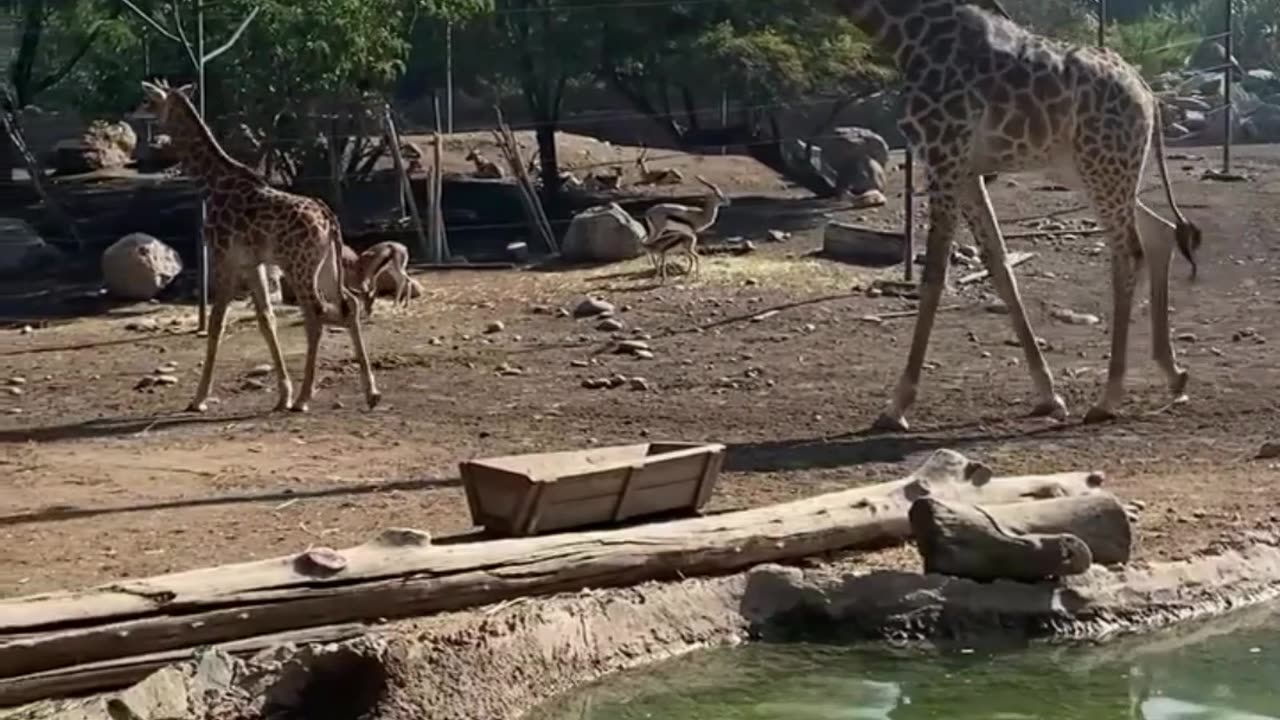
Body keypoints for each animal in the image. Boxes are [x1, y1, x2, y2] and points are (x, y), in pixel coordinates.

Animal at [138, 80, 381, 414]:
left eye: (149, 101)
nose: (136, 115)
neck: (211, 184)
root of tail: (329, 220)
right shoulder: (253, 264)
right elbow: (267, 320)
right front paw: (282, 394)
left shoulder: (224, 259)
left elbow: (217, 323)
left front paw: (198, 399)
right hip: (327, 268)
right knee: (349, 305)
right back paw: (370, 392)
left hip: (300, 267)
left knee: (317, 314)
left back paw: (305, 398)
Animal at [835, 0, 1202, 431]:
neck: (904, 33)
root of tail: (1148, 94)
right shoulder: (967, 171)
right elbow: (999, 264)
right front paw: (1048, 395)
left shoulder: (943, 154)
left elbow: (935, 275)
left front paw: (896, 407)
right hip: (1092, 168)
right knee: (1159, 230)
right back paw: (1173, 374)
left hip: (1102, 164)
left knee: (1130, 252)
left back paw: (1109, 397)